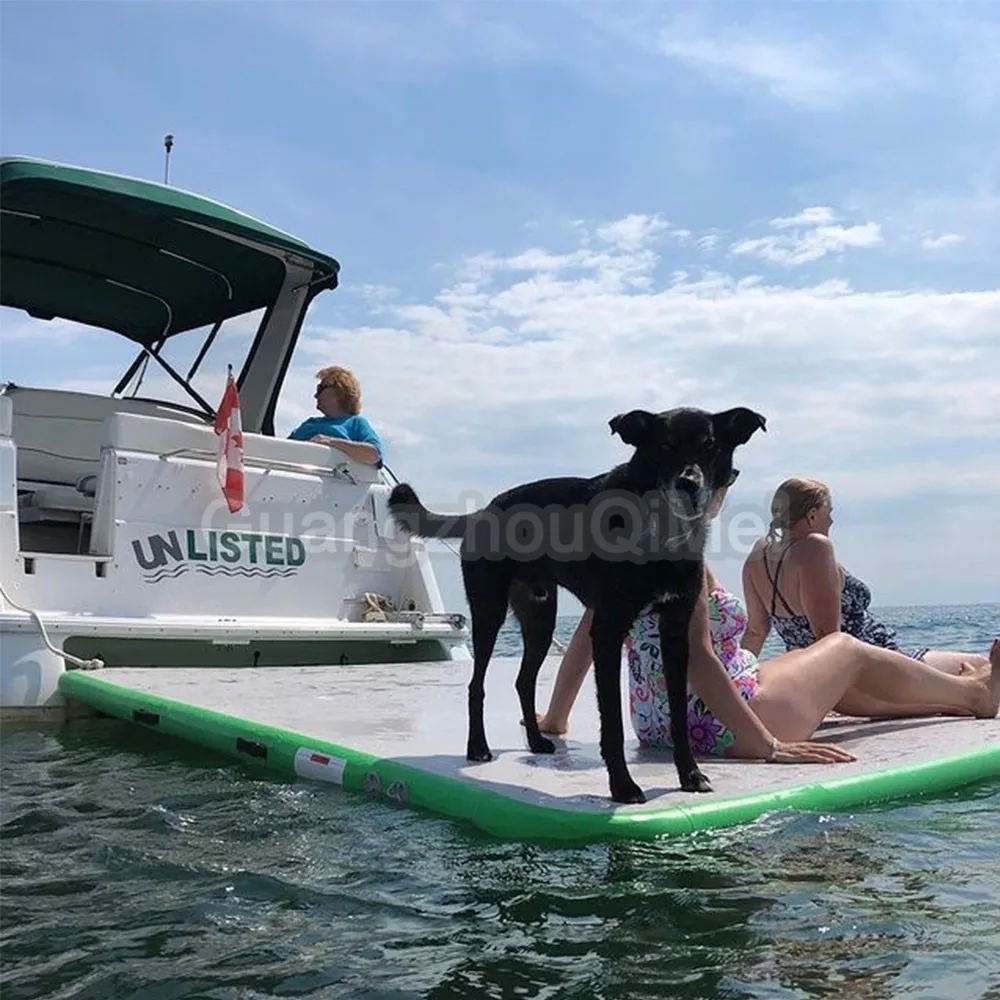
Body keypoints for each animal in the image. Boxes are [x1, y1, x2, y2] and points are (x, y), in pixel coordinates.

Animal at [388, 406, 764, 804]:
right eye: (665, 446)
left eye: (710, 445)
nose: (688, 484)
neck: (661, 528)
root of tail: (482, 512)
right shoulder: (608, 629)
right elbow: (612, 721)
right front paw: (622, 786)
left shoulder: (677, 631)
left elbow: (678, 713)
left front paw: (689, 774)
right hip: (489, 613)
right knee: (478, 685)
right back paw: (478, 747)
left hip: (540, 619)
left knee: (523, 681)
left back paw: (536, 740)